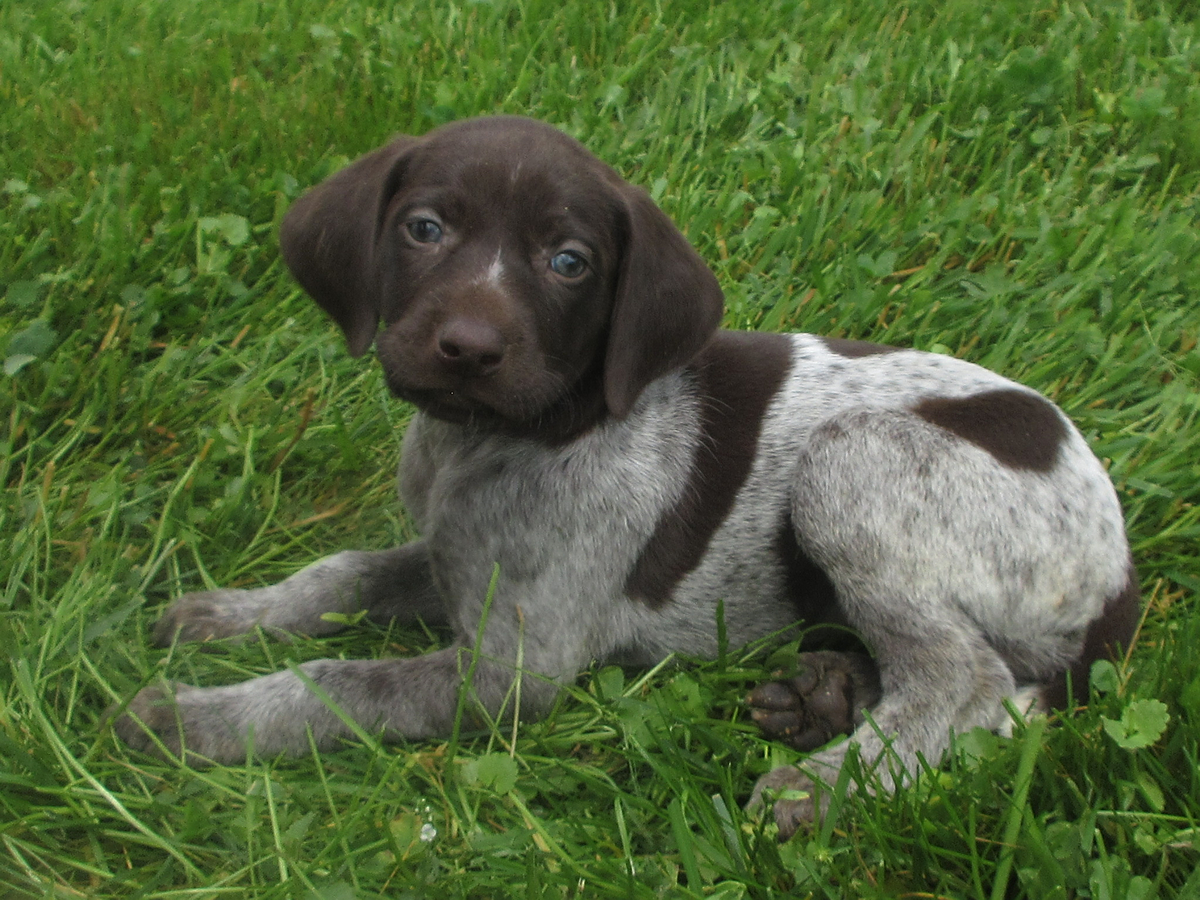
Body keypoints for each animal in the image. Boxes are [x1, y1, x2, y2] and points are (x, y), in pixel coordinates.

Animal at [117, 118, 1137, 840]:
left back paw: (830, 783)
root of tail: (1120, 580)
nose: (468, 349)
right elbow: (344, 574)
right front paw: (227, 616)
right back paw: (828, 695)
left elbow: (333, 684)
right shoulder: (450, 558)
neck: (492, 442)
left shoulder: (510, 672)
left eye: (569, 262)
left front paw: (192, 719)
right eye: (424, 229)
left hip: (855, 461)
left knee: (966, 678)